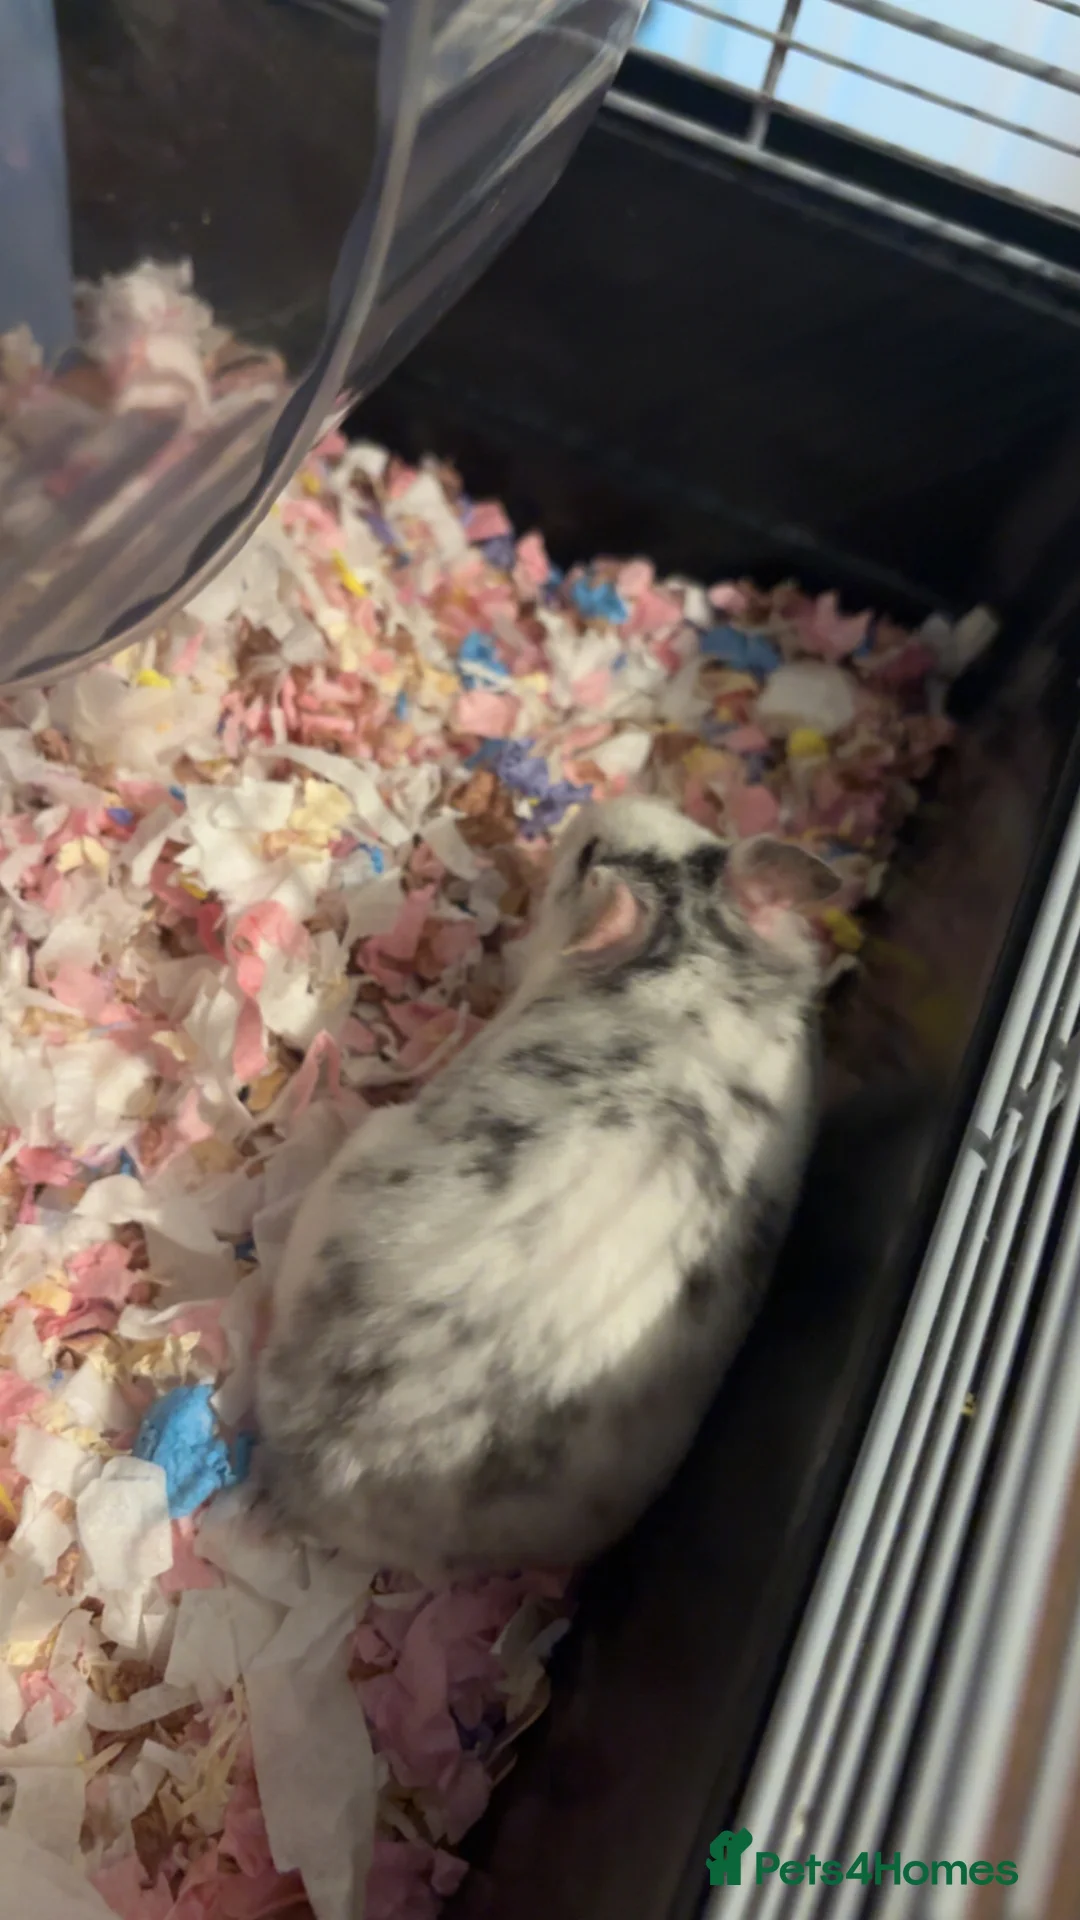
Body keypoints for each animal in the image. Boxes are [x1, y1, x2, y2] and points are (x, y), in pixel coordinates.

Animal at [254, 795, 842, 1580]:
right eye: (694, 825)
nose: (594, 806)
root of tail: (319, 1462)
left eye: (590, 852)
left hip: (354, 1162)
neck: (697, 957)